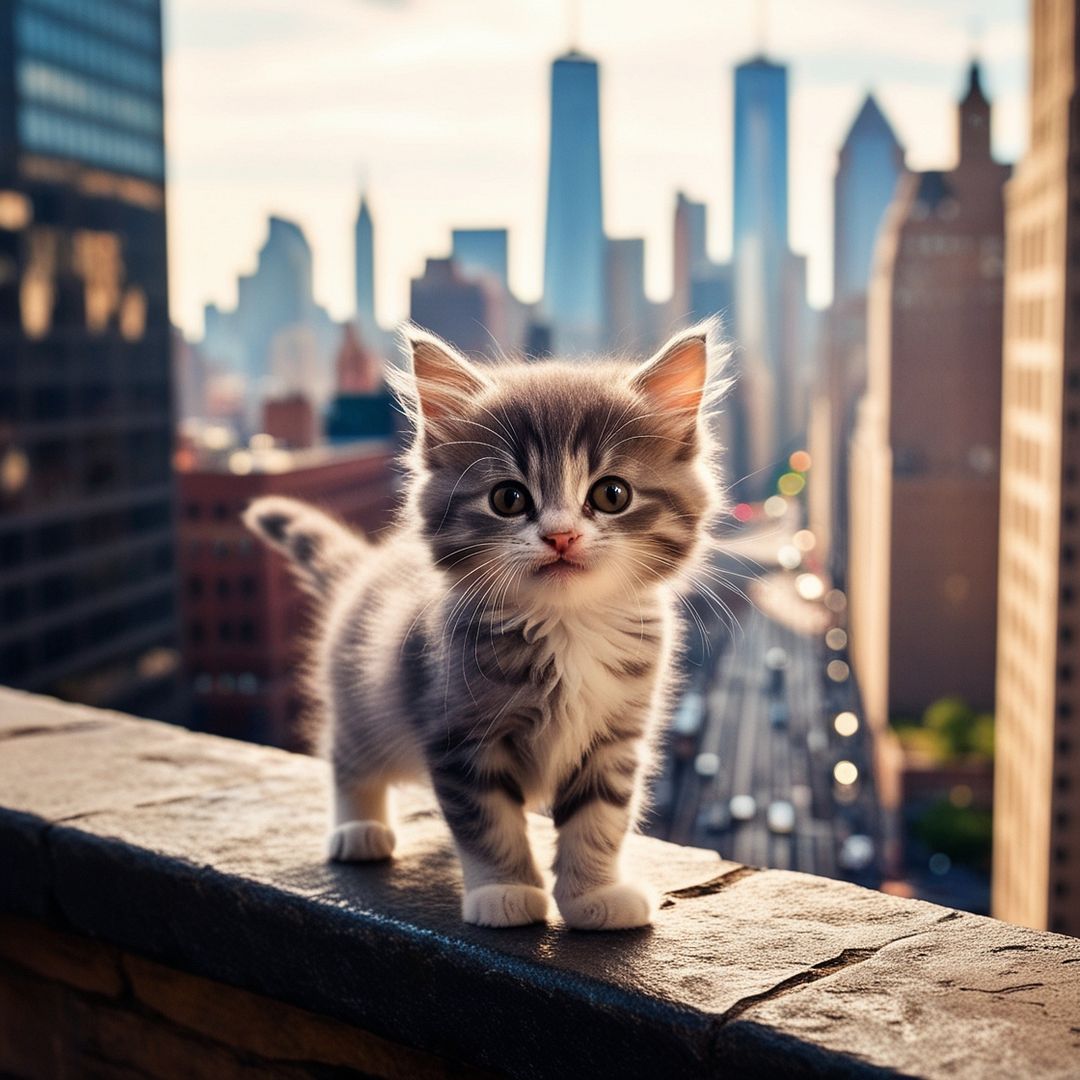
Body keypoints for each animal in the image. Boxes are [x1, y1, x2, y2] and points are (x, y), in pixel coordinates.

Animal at [245, 321, 725, 928]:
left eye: (611, 494)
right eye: (508, 498)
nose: (561, 536)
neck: (564, 626)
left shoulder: (616, 735)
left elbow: (599, 818)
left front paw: (593, 895)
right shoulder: (457, 731)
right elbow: (489, 823)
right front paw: (506, 891)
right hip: (363, 693)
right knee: (350, 755)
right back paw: (359, 827)